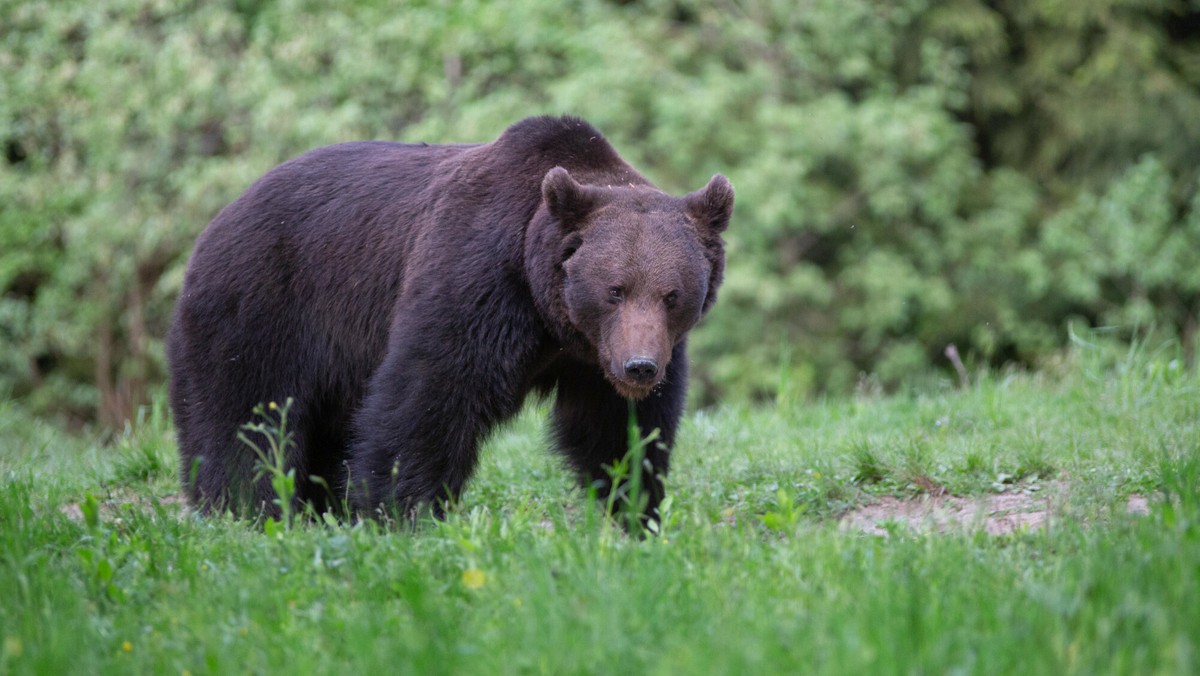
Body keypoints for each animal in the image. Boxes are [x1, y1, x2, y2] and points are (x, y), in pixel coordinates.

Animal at [166, 115, 729, 528]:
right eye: (615, 290)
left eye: (672, 295)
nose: (640, 367)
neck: (551, 312)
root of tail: (217, 220)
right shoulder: (476, 278)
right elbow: (430, 394)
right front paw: (401, 509)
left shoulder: (593, 358)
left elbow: (618, 430)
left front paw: (634, 508)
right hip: (261, 307)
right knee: (248, 415)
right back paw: (244, 506)